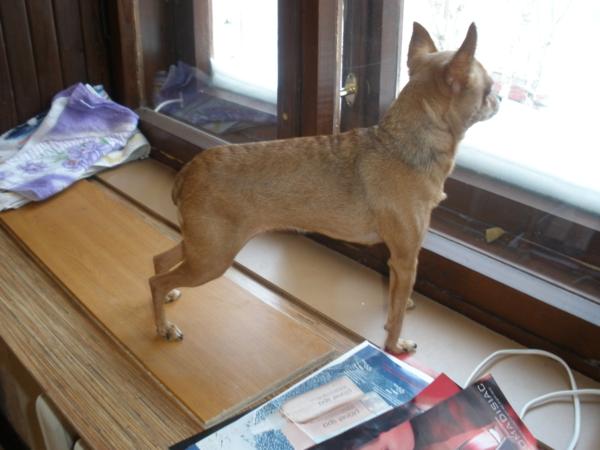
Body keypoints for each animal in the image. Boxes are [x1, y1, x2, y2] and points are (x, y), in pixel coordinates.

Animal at [149, 22, 499, 354]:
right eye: (489, 88)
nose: (499, 99)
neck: (402, 144)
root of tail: (188, 171)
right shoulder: (405, 257)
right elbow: (398, 314)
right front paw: (395, 345)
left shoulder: (397, 262)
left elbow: (396, 300)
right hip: (212, 257)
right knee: (155, 280)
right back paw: (163, 327)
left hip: (200, 245)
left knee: (160, 262)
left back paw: (167, 299)